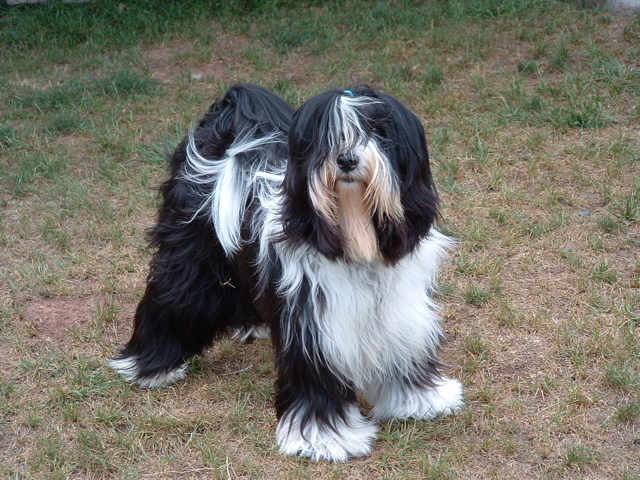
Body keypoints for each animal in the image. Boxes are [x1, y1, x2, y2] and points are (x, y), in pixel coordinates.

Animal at [109, 82, 460, 462]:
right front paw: (324, 438)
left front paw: (420, 400)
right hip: (190, 257)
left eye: (378, 131)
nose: (346, 159)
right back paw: (151, 365)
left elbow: (404, 351)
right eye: (327, 138)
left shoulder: (400, 308)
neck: (355, 236)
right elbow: (315, 378)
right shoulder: (312, 323)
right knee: (171, 298)